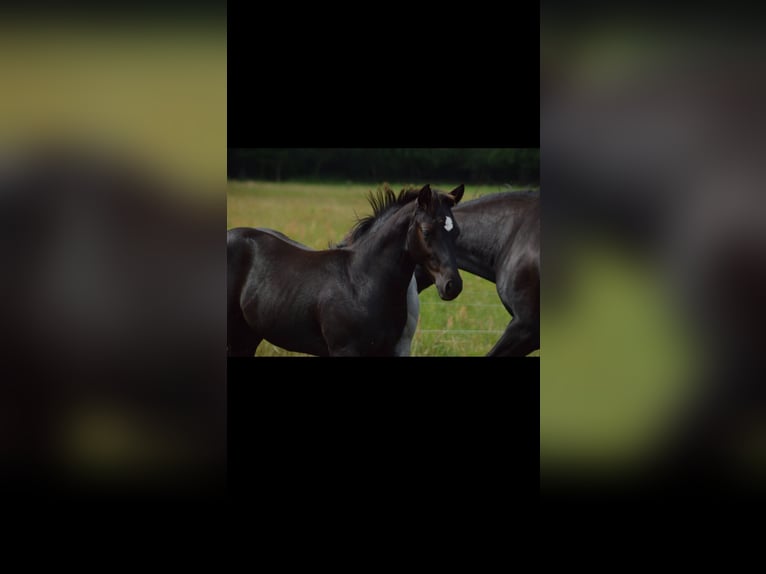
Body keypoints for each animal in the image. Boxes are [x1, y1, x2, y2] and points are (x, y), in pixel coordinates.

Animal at [227, 184, 465, 356]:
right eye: (426, 231)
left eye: (457, 232)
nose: (452, 285)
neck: (362, 282)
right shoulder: (345, 350)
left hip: (247, 336)